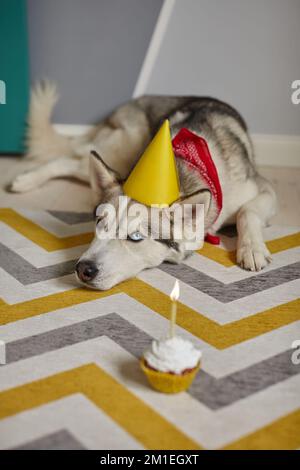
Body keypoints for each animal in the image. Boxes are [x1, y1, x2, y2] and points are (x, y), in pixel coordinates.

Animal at [11, 84, 276, 290]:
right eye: (99, 222)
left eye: (136, 237)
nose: (83, 269)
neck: (186, 163)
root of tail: (136, 100)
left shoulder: (265, 190)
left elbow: (247, 212)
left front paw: (251, 248)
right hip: (121, 152)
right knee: (68, 160)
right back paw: (24, 180)